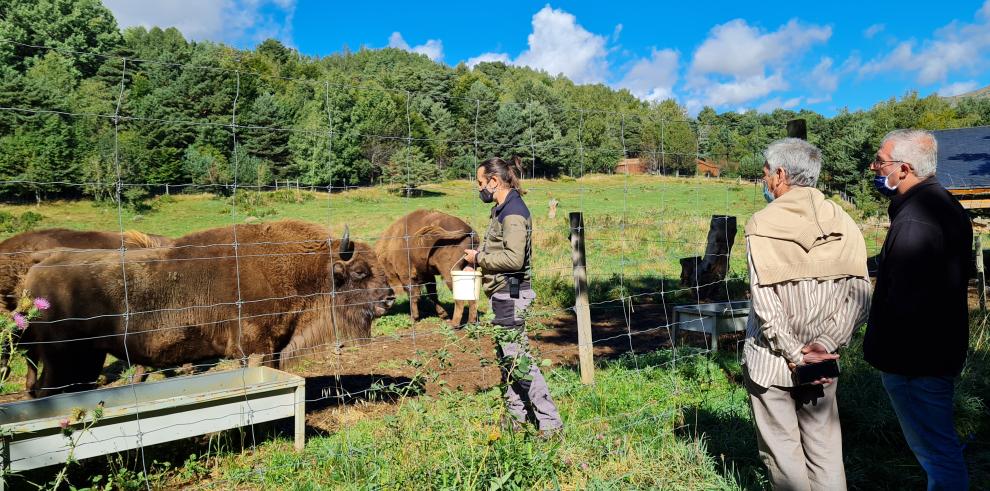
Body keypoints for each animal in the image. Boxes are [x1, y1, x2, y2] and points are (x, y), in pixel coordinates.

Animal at [21, 221, 394, 398]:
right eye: (360, 271)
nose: (389, 298)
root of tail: (38, 267)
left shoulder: (271, 349)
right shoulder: (258, 348)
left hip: (85, 360)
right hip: (63, 361)